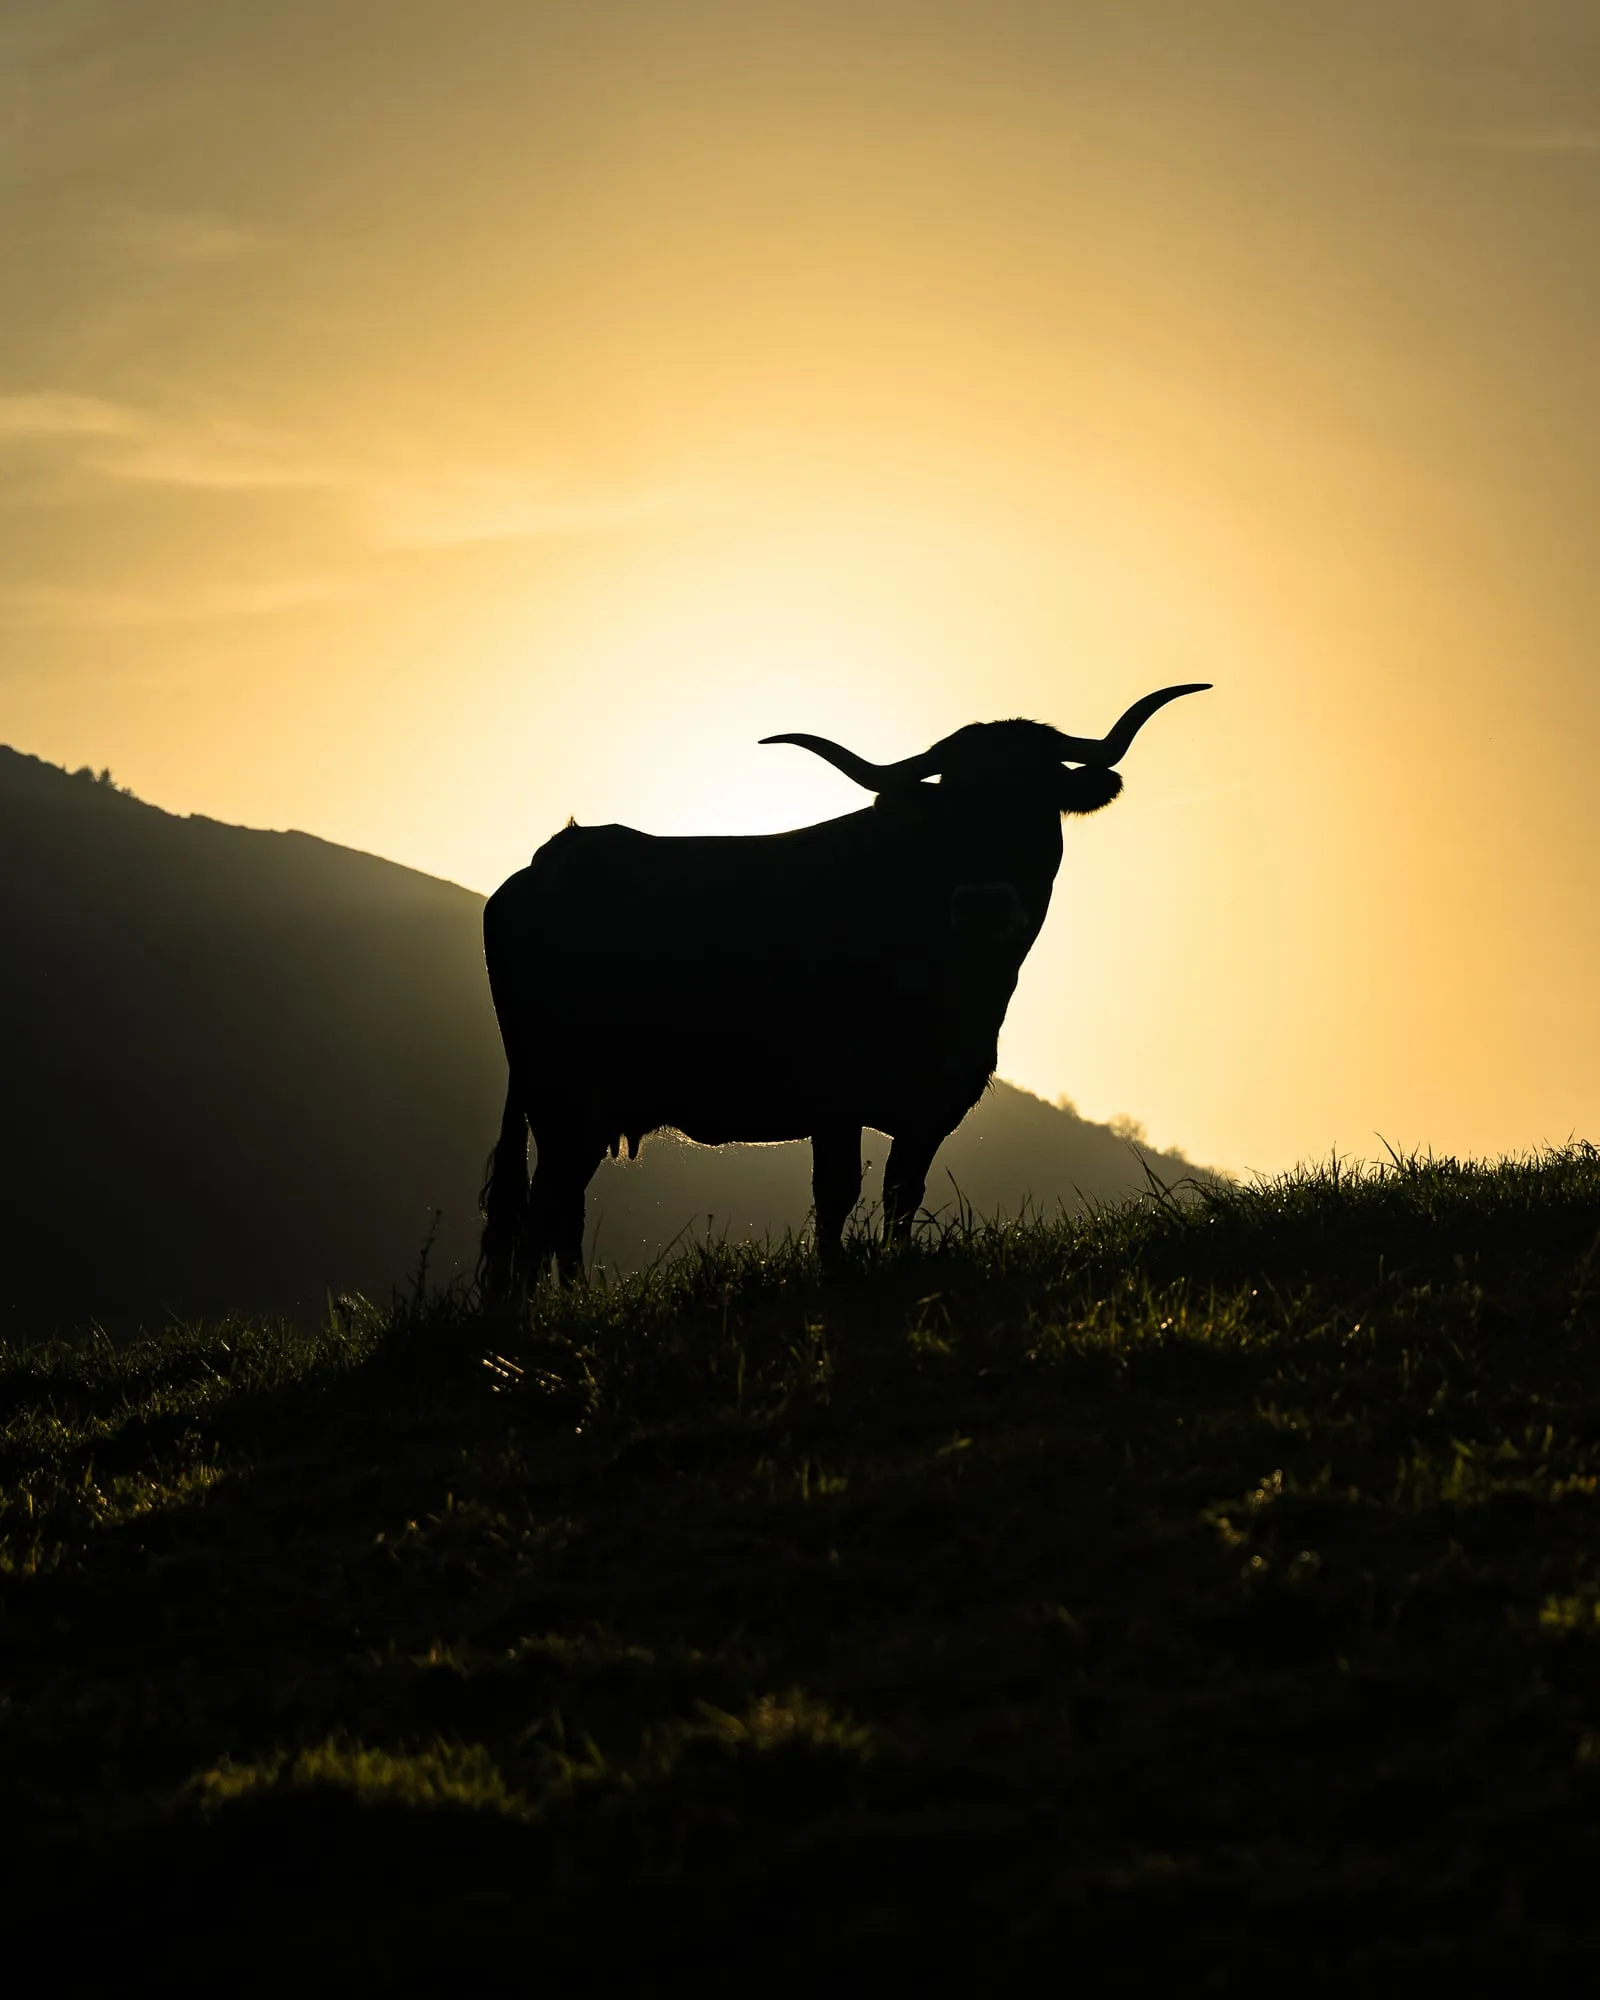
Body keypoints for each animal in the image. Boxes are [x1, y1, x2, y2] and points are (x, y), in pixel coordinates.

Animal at [478, 683, 1208, 1289]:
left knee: (560, 1208)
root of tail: (551, 860)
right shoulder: (833, 1097)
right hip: (561, 1093)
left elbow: (901, 1195)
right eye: (951, 806)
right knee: (542, 1210)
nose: (983, 904)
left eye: (1037, 800)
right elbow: (836, 1194)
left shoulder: (932, 1104)